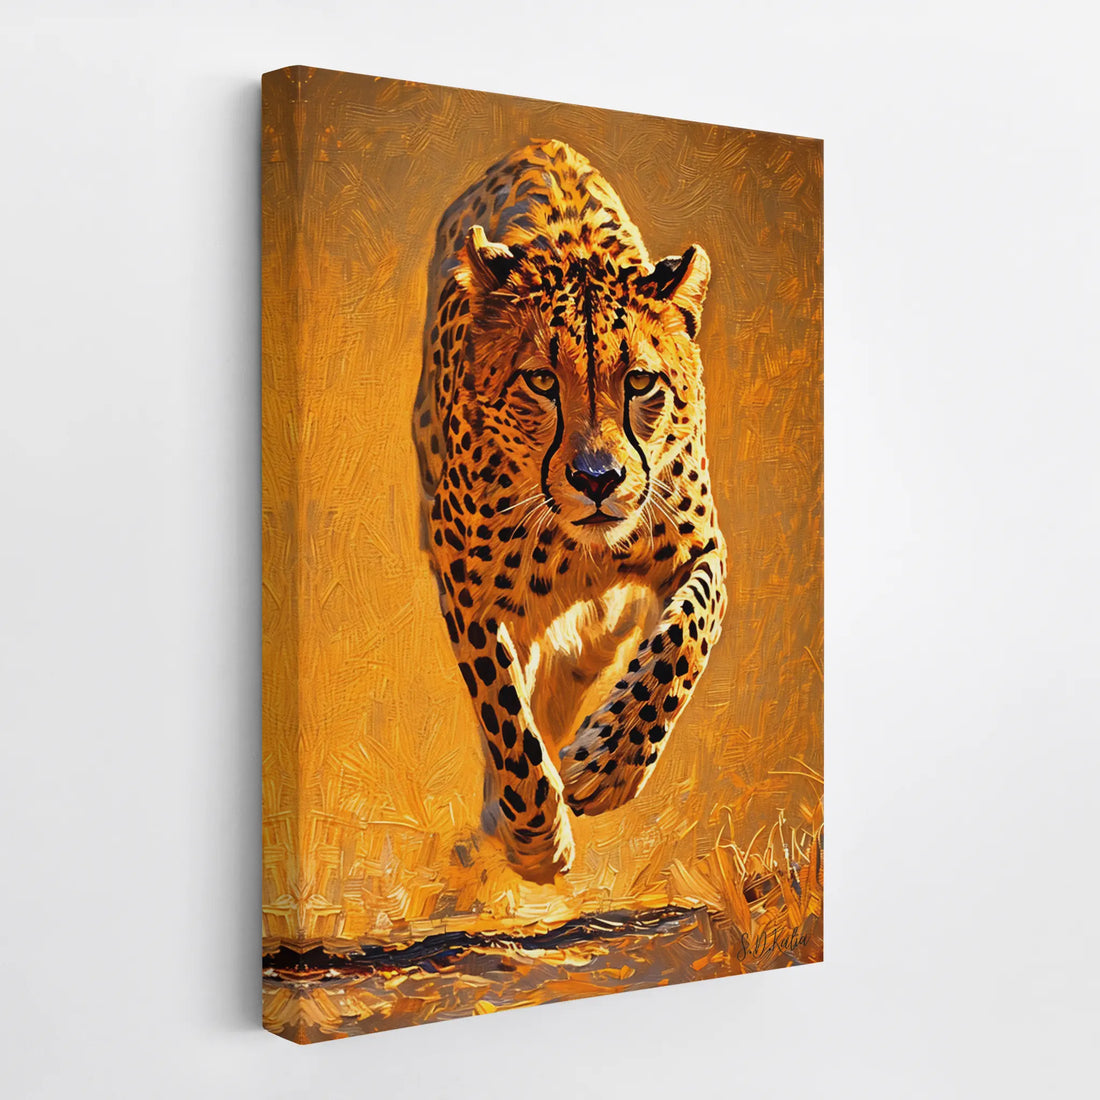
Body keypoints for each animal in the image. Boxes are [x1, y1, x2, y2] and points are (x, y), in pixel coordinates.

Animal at [413, 139, 728, 883]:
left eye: (638, 382)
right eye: (540, 381)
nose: (597, 479)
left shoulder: (702, 547)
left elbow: (685, 639)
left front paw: (606, 766)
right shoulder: (465, 586)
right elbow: (504, 713)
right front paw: (534, 836)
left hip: (601, 632)